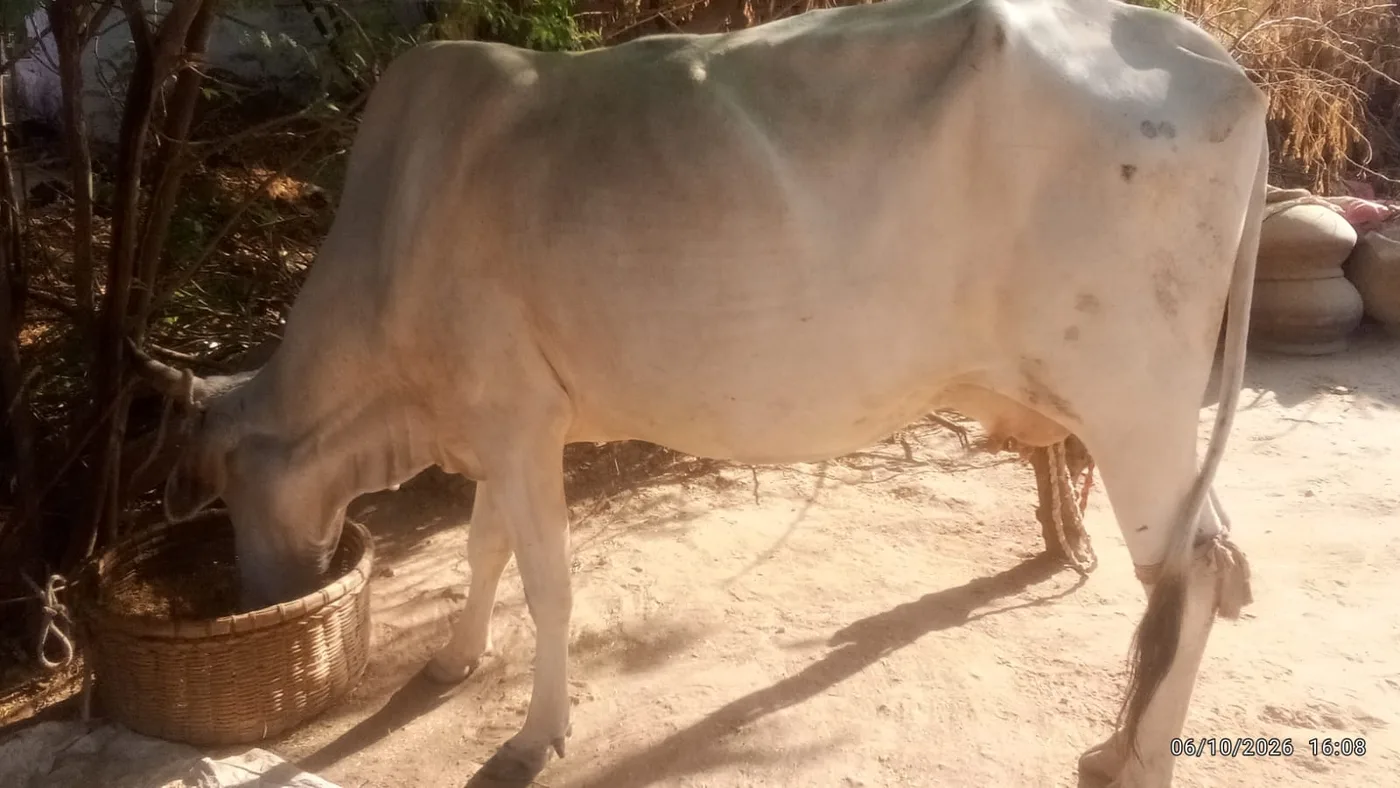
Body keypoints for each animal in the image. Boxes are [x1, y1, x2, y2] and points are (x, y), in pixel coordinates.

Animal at [130, 0, 1264, 784]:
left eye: (221, 486)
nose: (253, 592)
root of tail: (1223, 68)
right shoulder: (502, 421)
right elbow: (483, 549)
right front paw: (452, 662)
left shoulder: (513, 419)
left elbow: (545, 582)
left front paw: (534, 737)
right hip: (1150, 412)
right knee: (1201, 562)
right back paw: (1117, 746)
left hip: (1129, 398)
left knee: (1193, 571)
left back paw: (1130, 760)